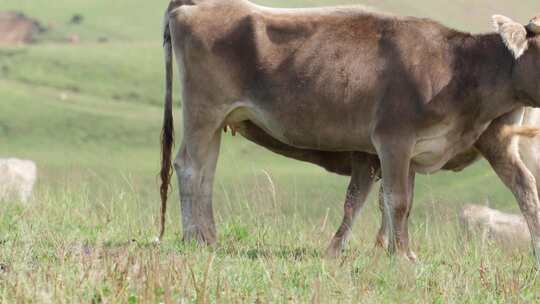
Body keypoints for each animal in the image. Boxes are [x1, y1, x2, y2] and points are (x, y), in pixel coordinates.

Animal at [157, 0, 540, 262]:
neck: (458, 69)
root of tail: (194, 4)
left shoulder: (407, 152)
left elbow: (388, 201)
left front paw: (389, 251)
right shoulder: (393, 139)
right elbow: (397, 201)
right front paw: (403, 256)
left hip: (216, 120)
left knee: (206, 172)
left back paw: (208, 236)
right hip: (204, 111)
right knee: (190, 168)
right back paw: (194, 238)